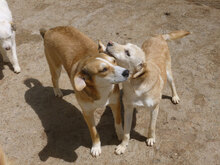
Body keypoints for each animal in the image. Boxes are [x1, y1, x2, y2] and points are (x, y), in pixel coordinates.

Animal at [40, 26, 129, 157]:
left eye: (114, 61)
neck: (101, 88)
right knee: (54, 79)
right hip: (55, 67)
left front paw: (121, 135)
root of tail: (50, 29)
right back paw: (57, 92)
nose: (127, 72)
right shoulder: (87, 113)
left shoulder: (115, 103)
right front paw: (96, 147)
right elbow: (94, 131)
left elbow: (118, 122)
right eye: (103, 69)